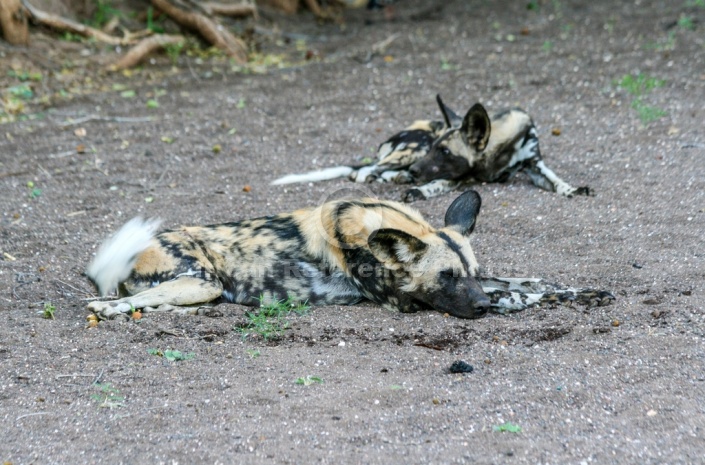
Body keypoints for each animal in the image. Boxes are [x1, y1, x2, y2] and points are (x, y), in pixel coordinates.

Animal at [270, 94, 588, 201]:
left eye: (445, 151)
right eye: (437, 149)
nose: (415, 171)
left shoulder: (535, 165)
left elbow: (556, 180)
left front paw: (572, 188)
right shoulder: (457, 175)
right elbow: (436, 184)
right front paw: (419, 191)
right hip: (412, 147)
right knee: (364, 172)